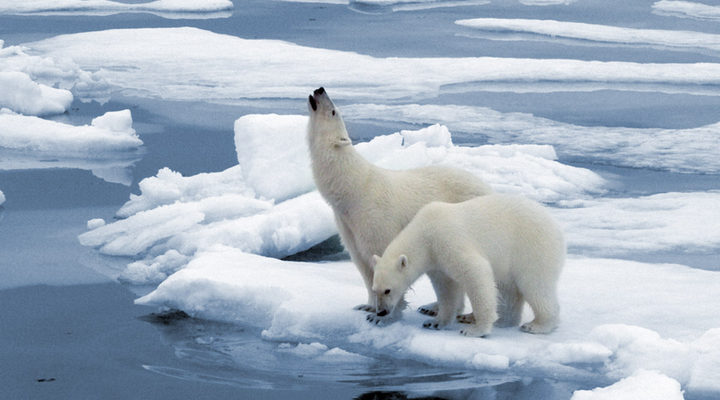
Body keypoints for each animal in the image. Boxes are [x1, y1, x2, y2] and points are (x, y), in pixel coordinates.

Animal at [306, 88, 492, 316]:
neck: (354, 188)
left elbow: (384, 257)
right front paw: (366, 305)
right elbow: (362, 264)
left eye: (333, 111)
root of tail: (488, 188)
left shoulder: (375, 219)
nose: (320, 90)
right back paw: (432, 307)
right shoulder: (347, 225)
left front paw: (390, 309)